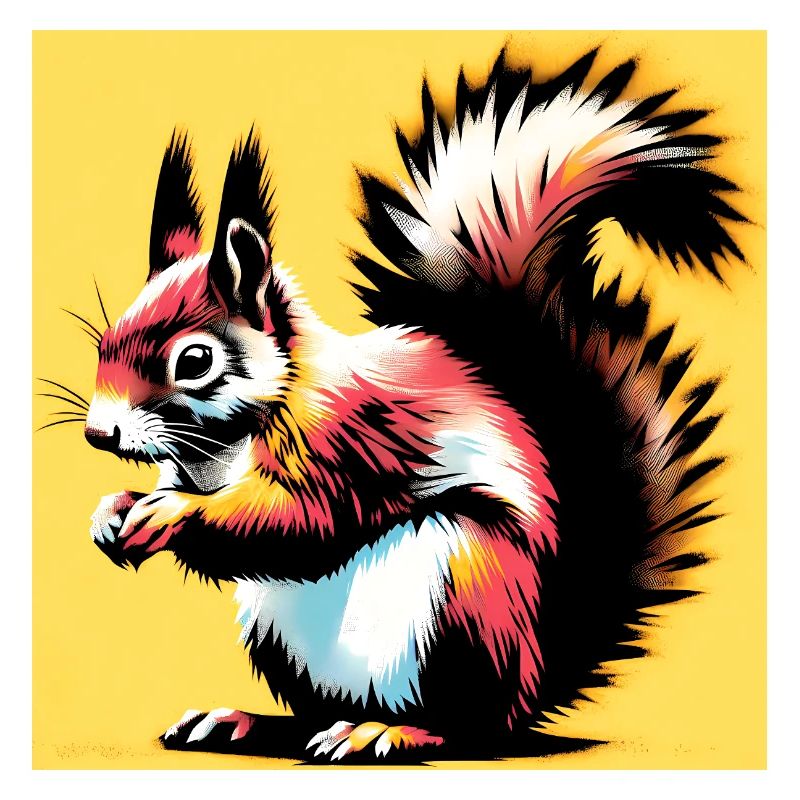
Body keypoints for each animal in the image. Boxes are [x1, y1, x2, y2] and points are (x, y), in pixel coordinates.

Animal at [82, 49, 744, 760]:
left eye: (195, 361)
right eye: (106, 340)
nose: (99, 434)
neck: (227, 442)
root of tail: (535, 678)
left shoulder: (350, 440)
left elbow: (298, 520)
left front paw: (171, 513)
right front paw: (113, 510)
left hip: (465, 596)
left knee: (470, 724)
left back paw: (390, 730)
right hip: (280, 630)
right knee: (314, 713)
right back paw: (247, 721)